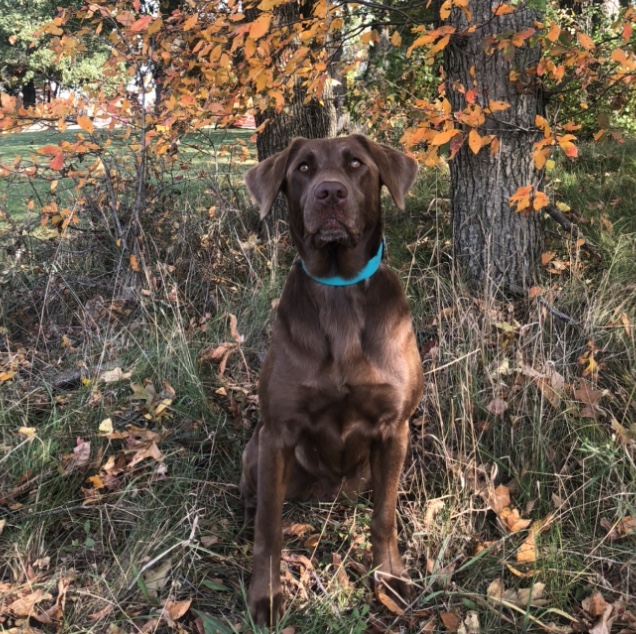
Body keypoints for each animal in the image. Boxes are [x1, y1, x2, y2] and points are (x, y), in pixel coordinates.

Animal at [238, 132, 422, 624]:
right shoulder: (277, 433)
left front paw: (389, 578)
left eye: (356, 163)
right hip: (255, 448)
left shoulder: (395, 428)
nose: (330, 193)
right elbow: (269, 529)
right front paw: (266, 595)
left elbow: (384, 517)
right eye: (303, 168)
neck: (339, 290)